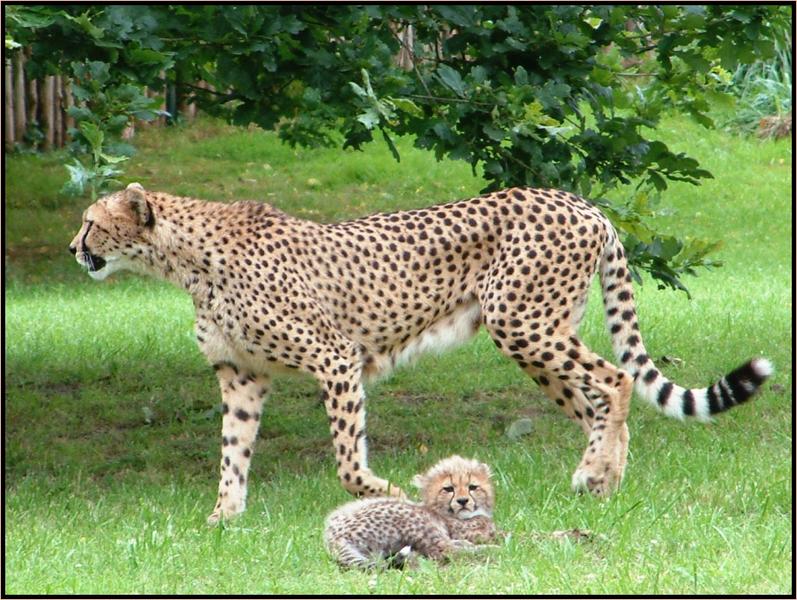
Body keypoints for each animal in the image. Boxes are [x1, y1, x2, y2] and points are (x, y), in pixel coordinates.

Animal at [70, 182, 772, 520]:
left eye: (91, 222)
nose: (74, 250)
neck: (184, 261)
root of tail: (582, 203)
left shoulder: (335, 357)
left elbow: (347, 461)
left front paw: (388, 491)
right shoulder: (241, 375)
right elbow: (232, 455)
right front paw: (222, 521)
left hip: (522, 321)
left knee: (615, 381)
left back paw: (599, 475)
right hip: (534, 334)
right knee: (593, 402)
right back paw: (600, 483)